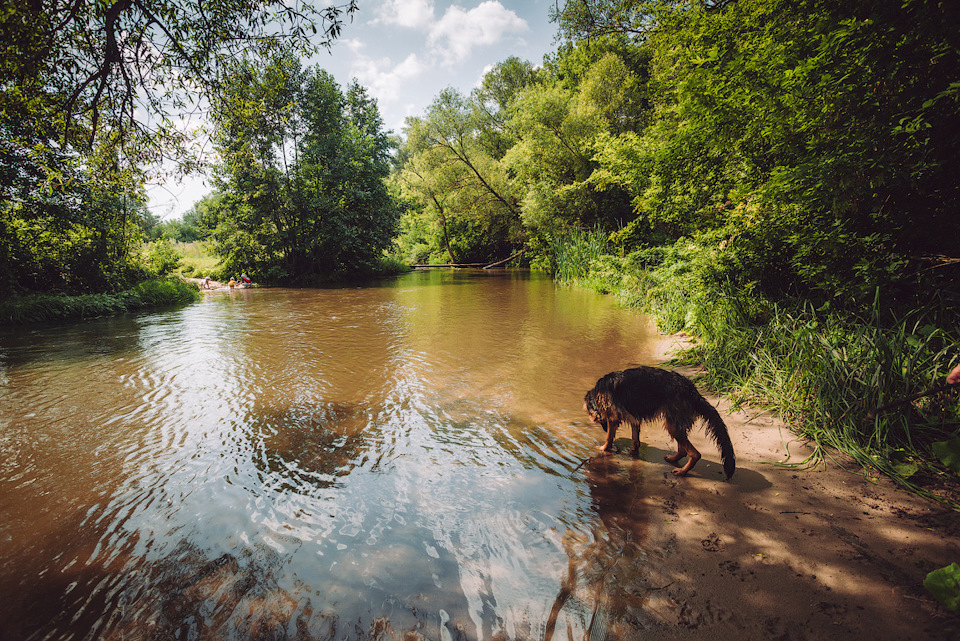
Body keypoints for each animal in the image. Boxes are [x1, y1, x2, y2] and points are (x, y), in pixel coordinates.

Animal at [584, 368, 736, 478]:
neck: (597, 394)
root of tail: (693, 392)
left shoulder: (613, 418)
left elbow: (609, 437)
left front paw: (603, 448)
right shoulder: (634, 417)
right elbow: (635, 438)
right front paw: (634, 450)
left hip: (673, 425)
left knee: (695, 454)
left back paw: (682, 472)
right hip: (676, 425)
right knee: (683, 450)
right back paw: (673, 459)